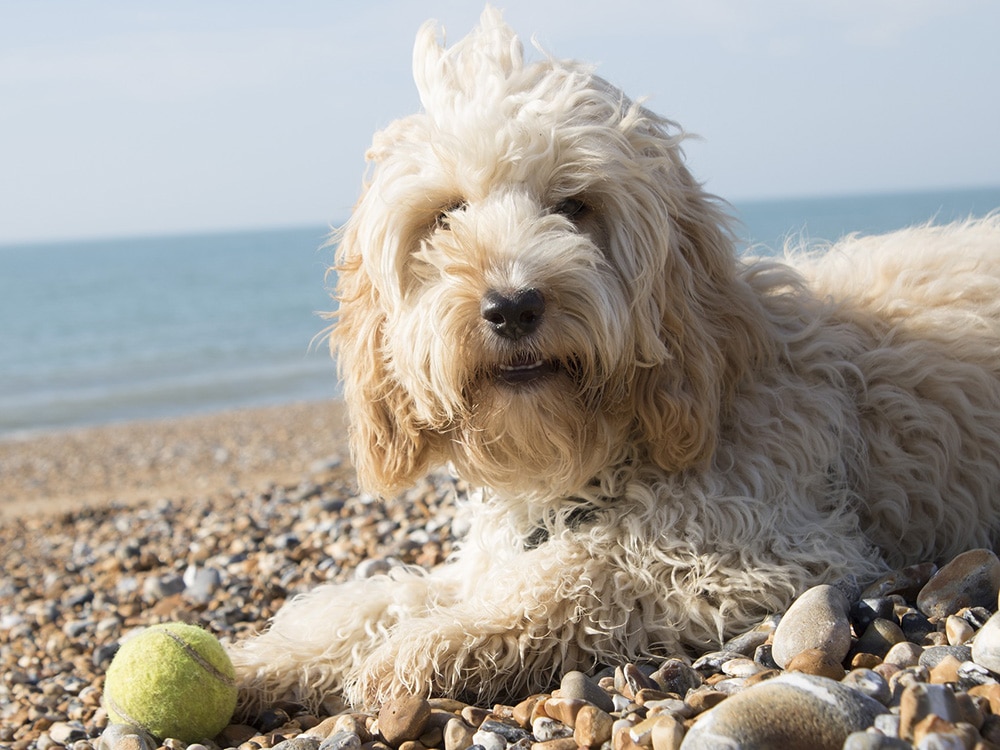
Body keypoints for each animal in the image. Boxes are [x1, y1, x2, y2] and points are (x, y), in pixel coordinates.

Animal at [230, 4, 1000, 712]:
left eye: (573, 205)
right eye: (446, 215)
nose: (512, 306)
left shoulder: (766, 544)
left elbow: (588, 572)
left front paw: (429, 644)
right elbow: (384, 598)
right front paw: (263, 661)